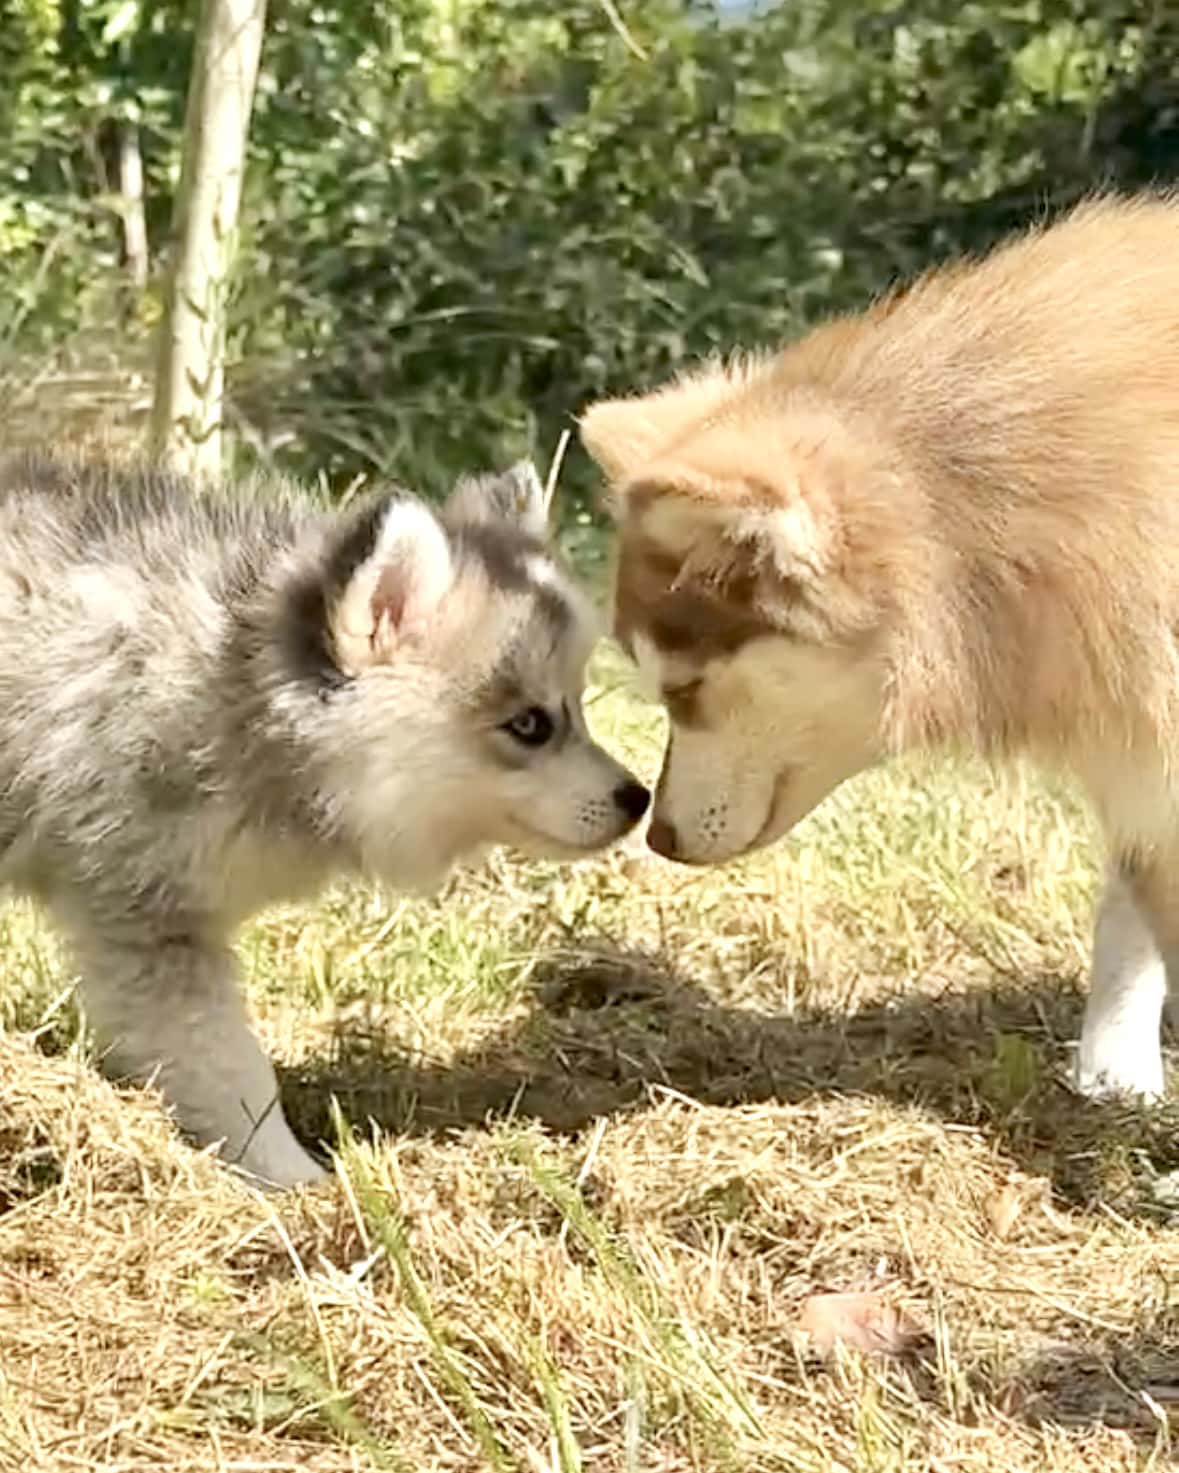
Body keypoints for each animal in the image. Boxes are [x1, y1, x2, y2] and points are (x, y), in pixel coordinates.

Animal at [0, 453, 648, 1190]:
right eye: (531, 724)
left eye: (577, 704)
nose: (637, 797)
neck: (236, 680)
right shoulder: (149, 921)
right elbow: (231, 1069)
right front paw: (299, 1182)